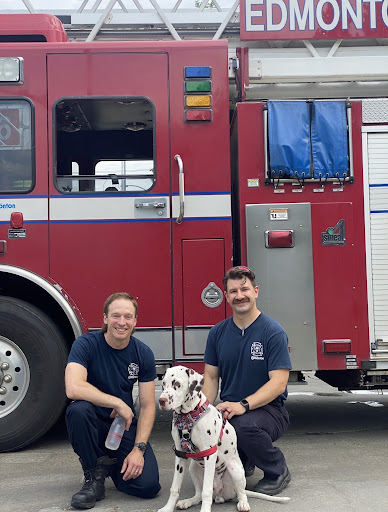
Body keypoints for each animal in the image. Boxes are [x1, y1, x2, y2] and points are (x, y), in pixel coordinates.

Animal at [157, 364, 288, 512]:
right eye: (163, 384)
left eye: (177, 384)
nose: (161, 401)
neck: (188, 416)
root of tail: (219, 494)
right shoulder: (180, 455)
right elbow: (175, 488)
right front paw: (167, 508)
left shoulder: (210, 454)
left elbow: (207, 491)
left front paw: (205, 510)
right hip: (193, 468)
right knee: (199, 495)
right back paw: (188, 501)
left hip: (235, 469)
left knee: (240, 493)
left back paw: (243, 503)